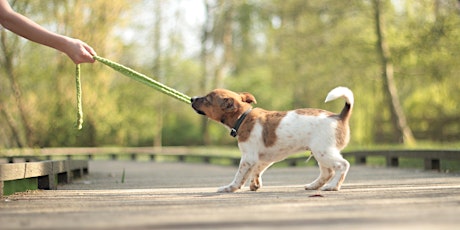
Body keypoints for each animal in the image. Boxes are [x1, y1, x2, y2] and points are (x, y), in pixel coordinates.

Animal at [190, 86, 352, 192]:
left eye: (207, 99)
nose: (192, 98)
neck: (243, 117)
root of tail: (339, 116)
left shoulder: (248, 158)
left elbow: (239, 176)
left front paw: (230, 188)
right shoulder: (264, 158)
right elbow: (257, 170)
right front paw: (254, 184)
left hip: (323, 152)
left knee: (342, 165)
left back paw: (333, 186)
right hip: (320, 153)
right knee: (327, 172)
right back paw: (314, 186)